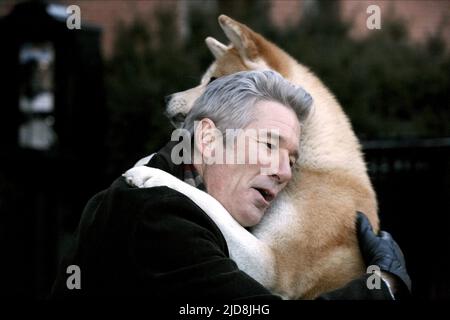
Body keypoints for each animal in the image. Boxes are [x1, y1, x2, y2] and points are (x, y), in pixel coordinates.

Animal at [124, 14, 380, 300]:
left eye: (212, 80)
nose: (167, 98)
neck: (315, 168)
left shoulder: (274, 266)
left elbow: (211, 204)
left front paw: (152, 175)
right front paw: (146, 160)